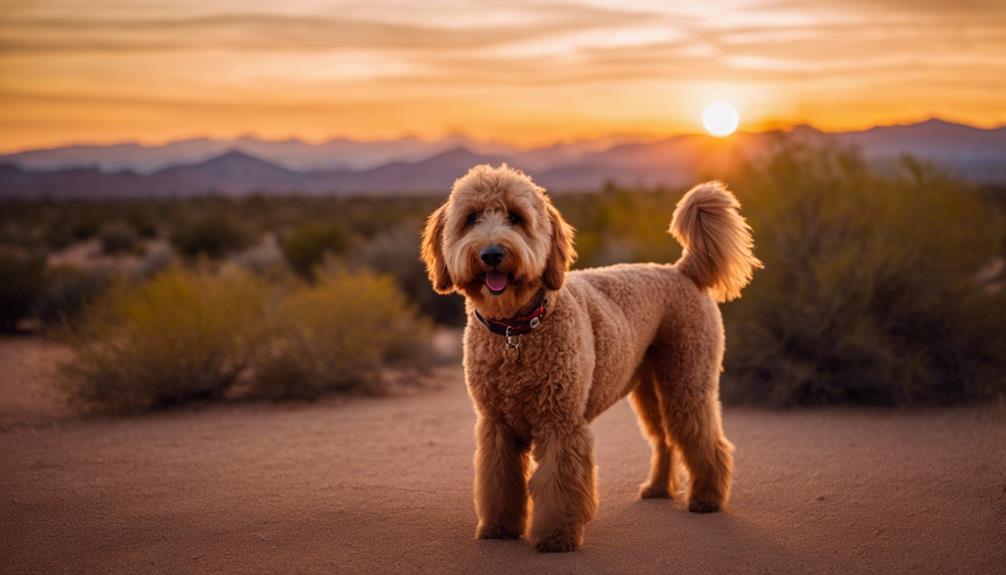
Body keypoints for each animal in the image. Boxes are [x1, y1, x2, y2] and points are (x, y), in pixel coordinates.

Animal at [420, 163, 756, 550]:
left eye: (516, 217)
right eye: (471, 218)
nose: (491, 253)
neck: (514, 331)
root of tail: (681, 270)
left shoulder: (561, 423)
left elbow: (559, 485)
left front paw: (557, 537)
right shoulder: (497, 425)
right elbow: (499, 482)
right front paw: (499, 528)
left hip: (687, 380)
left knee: (703, 438)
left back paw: (707, 498)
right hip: (649, 389)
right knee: (664, 439)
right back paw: (658, 488)